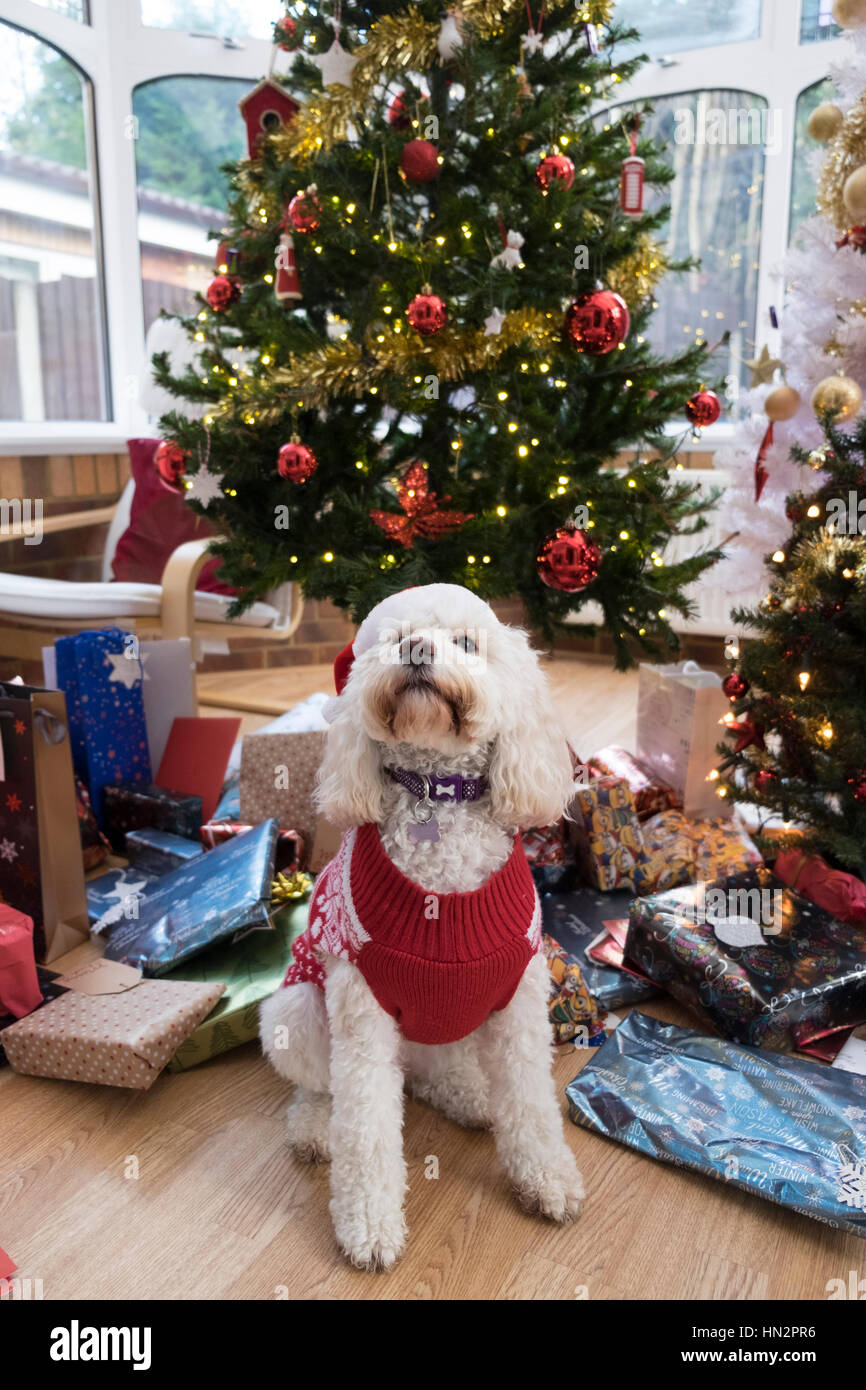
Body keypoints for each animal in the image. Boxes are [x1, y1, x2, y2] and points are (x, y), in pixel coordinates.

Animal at [257, 583, 583, 1273]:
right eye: (393, 637)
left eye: (465, 642)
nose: (417, 651)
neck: (438, 794)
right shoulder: (361, 1011)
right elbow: (366, 1129)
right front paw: (368, 1227)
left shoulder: (518, 1002)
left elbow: (531, 1104)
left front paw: (547, 1178)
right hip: (297, 1011)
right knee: (322, 1093)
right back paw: (313, 1131)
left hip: (455, 1020)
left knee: (435, 1075)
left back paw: (472, 1099)